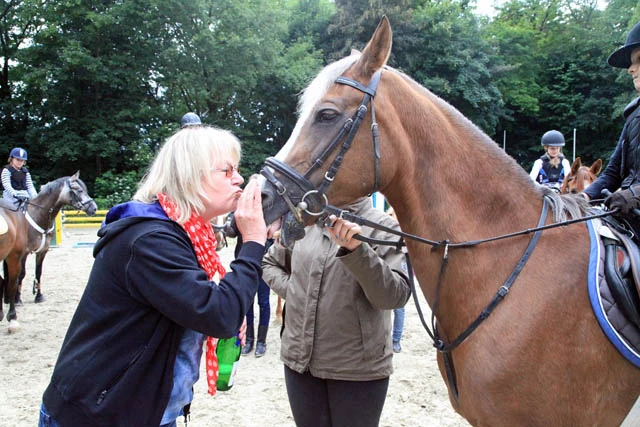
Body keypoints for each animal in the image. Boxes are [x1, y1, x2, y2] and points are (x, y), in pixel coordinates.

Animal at [0, 171, 97, 333]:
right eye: (78, 190)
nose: (94, 208)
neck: (39, 215)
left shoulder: (42, 251)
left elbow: (38, 273)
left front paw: (38, 296)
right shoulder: (23, 253)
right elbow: (21, 275)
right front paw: (18, 299)